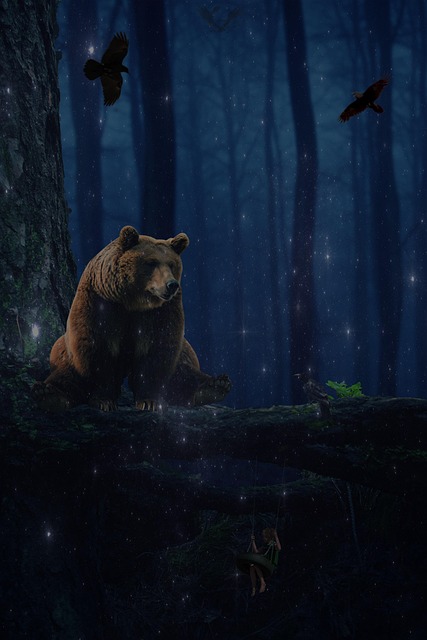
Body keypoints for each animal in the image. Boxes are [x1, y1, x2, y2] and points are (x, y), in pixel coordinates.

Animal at [32, 225, 231, 412]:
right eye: (151, 262)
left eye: (172, 264)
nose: (171, 285)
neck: (132, 302)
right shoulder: (101, 302)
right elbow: (97, 348)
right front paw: (104, 400)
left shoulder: (161, 312)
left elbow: (157, 350)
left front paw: (149, 401)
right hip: (63, 349)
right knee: (67, 374)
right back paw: (47, 393)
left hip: (185, 351)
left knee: (184, 372)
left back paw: (215, 385)